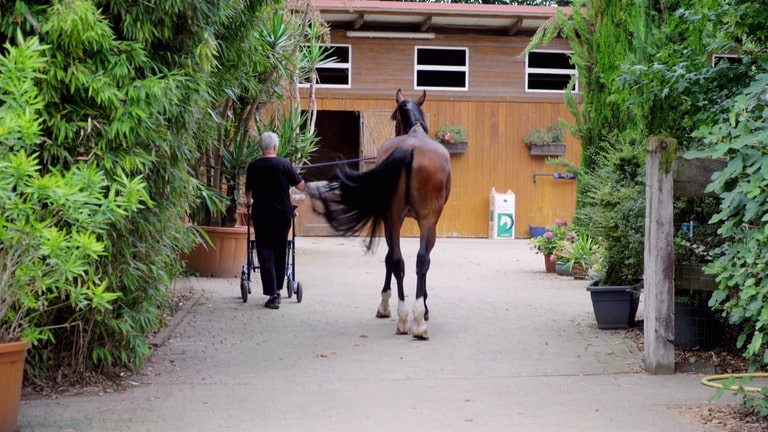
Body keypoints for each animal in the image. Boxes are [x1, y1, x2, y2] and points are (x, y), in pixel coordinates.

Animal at [308, 89, 450, 340]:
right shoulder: (423, 222)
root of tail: (410, 149)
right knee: (418, 259)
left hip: (396, 218)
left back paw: (404, 320)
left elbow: (390, 258)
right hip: (422, 219)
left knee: (398, 260)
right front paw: (421, 308)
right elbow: (418, 259)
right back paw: (416, 321)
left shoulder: (394, 219)